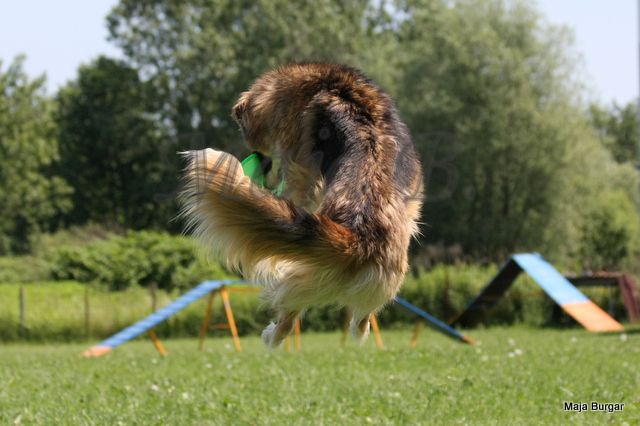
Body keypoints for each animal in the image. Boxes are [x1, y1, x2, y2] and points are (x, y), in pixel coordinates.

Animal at [180, 64, 422, 350]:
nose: (258, 160)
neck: (321, 79)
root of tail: (359, 238)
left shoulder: (298, 158)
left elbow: (297, 185)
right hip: (370, 283)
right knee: (362, 314)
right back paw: (358, 329)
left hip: (303, 276)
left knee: (287, 315)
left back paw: (271, 336)